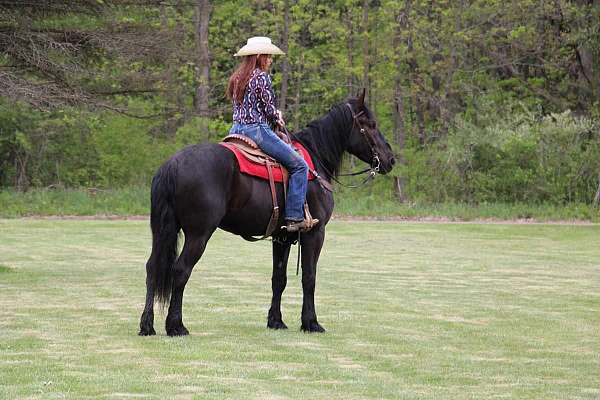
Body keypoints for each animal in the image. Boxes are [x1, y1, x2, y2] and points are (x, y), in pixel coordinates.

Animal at [138, 90, 396, 334]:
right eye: (371, 124)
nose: (390, 159)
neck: (315, 161)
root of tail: (172, 164)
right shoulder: (315, 233)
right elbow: (309, 277)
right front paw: (311, 322)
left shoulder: (282, 237)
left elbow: (278, 279)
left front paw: (276, 321)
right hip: (198, 235)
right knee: (180, 271)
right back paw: (176, 326)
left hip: (163, 231)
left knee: (153, 268)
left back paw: (147, 325)